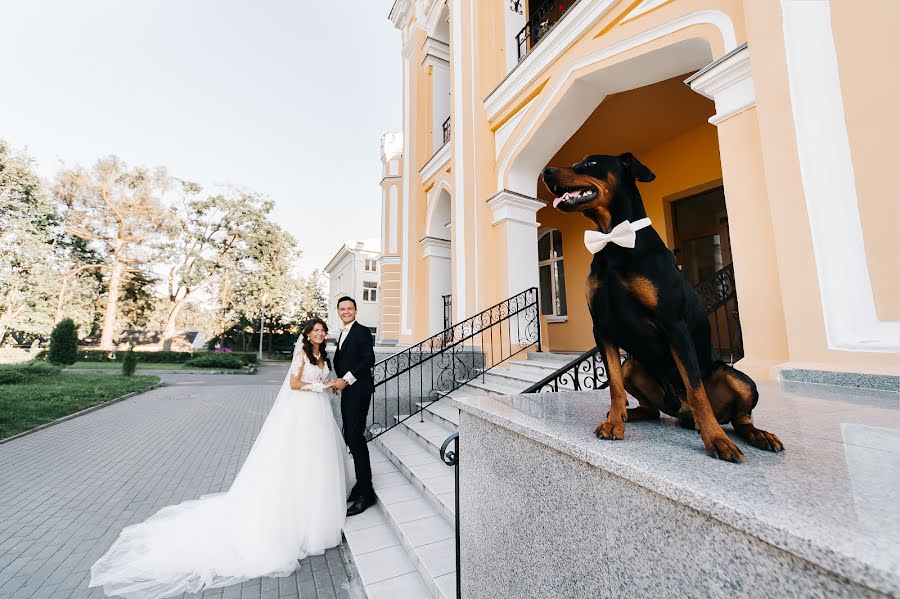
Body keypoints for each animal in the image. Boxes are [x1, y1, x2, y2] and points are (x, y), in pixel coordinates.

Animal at [540, 155, 780, 464]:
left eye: (591, 163)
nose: (546, 172)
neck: (614, 240)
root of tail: (682, 414)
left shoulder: (674, 325)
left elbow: (696, 390)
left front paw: (716, 439)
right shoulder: (602, 327)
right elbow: (614, 386)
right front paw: (614, 423)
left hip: (739, 379)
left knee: (738, 418)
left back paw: (757, 434)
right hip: (632, 365)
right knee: (651, 409)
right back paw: (627, 415)